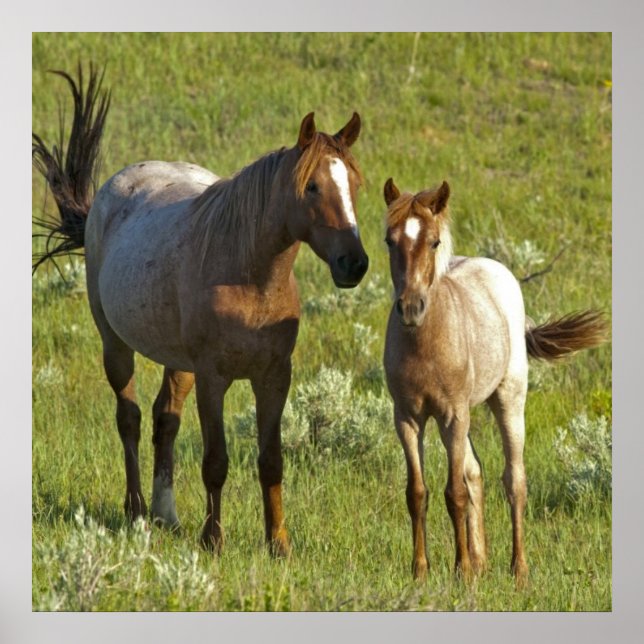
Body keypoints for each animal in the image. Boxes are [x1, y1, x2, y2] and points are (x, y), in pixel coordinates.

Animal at [32, 65, 369, 556]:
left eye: (354, 187)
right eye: (311, 186)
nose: (354, 263)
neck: (251, 278)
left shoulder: (274, 376)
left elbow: (271, 460)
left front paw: (279, 544)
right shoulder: (214, 377)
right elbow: (216, 461)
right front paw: (213, 539)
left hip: (179, 362)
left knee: (165, 419)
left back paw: (166, 515)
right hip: (115, 344)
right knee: (130, 418)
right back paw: (137, 511)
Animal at [381, 177, 607, 583]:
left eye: (434, 241)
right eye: (390, 241)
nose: (410, 307)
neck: (426, 344)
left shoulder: (452, 415)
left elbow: (454, 492)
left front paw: (461, 571)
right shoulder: (407, 418)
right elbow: (418, 492)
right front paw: (421, 571)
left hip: (508, 401)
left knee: (513, 480)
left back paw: (518, 570)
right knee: (476, 472)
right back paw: (482, 561)